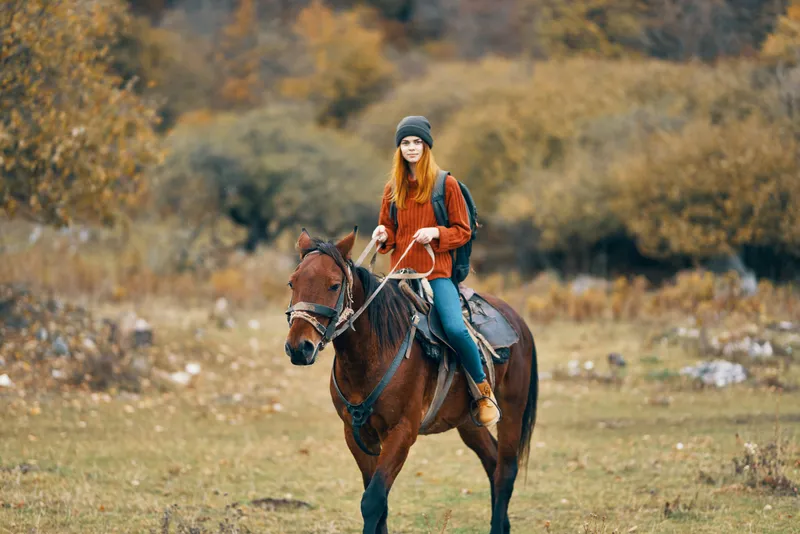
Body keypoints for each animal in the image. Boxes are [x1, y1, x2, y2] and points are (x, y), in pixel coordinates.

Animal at [284, 228, 538, 534]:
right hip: (467, 422)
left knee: (505, 472)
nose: (299, 348)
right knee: (492, 463)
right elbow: (379, 503)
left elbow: (372, 500)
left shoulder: (402, 432)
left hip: (512, 410)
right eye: (292, 282)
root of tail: (518, 323)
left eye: (334, 285)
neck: (373, 355)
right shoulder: (356, 434)